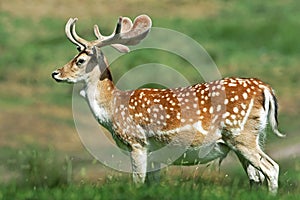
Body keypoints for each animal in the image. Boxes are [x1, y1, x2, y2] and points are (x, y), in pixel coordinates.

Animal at [51, 14, 284, 195]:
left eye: (80, 60)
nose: (56, 73)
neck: (113, 109)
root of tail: (265, 88)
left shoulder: (137, 142)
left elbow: (137, 182)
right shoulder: (155, 154)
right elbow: (152, 184)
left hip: (241, 135)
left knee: (272, 168)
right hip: (246, 139)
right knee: (255, 177)